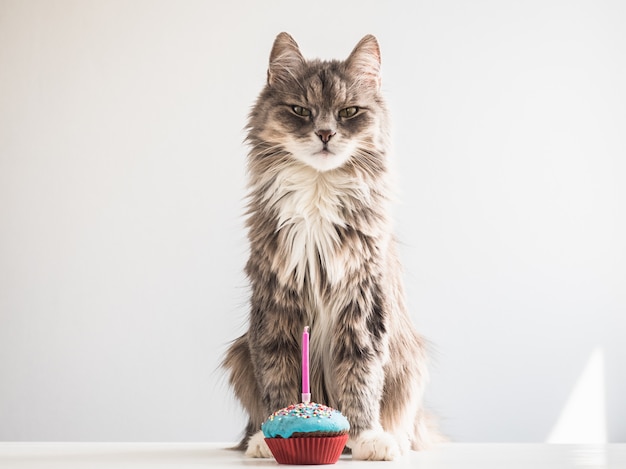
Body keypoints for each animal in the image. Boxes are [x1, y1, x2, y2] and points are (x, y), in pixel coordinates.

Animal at [222, 32, 436, 460]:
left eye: (349, 111)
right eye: (301, 110)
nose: (324, 134)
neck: (319, 193)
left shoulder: (363, 301)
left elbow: (361, 377)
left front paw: (369, 438)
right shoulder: (276, 300)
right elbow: (278, 375)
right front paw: (270, 438)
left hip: (411, 363)